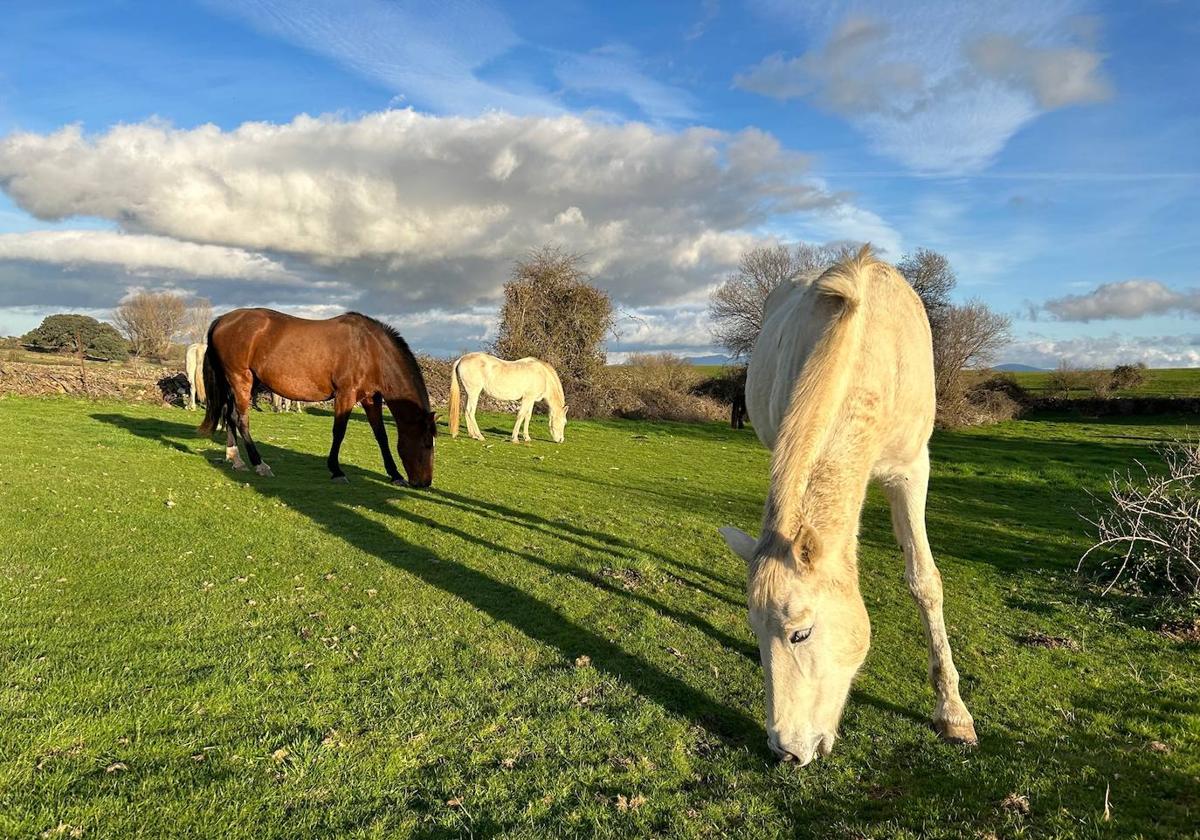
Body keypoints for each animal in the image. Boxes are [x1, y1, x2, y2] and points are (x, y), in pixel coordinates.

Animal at [198, 309, 436, 484]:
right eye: (426, 442)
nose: (425, 483)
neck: (370, 350)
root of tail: (222, 320)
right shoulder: (345, 395)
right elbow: (339, 432)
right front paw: (336, 470)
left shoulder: (370, 398)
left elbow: (381, 435)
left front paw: (395, 474)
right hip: (240, 379)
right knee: (241, 420)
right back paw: (259, 465)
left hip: (239, 382)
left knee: (229, 416)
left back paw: (235, 459)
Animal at [715, 244, 979, 768]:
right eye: (754, 631)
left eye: (800, 634)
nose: (785, 751)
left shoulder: (911, 472)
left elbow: (925, 582)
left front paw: (953, 713)